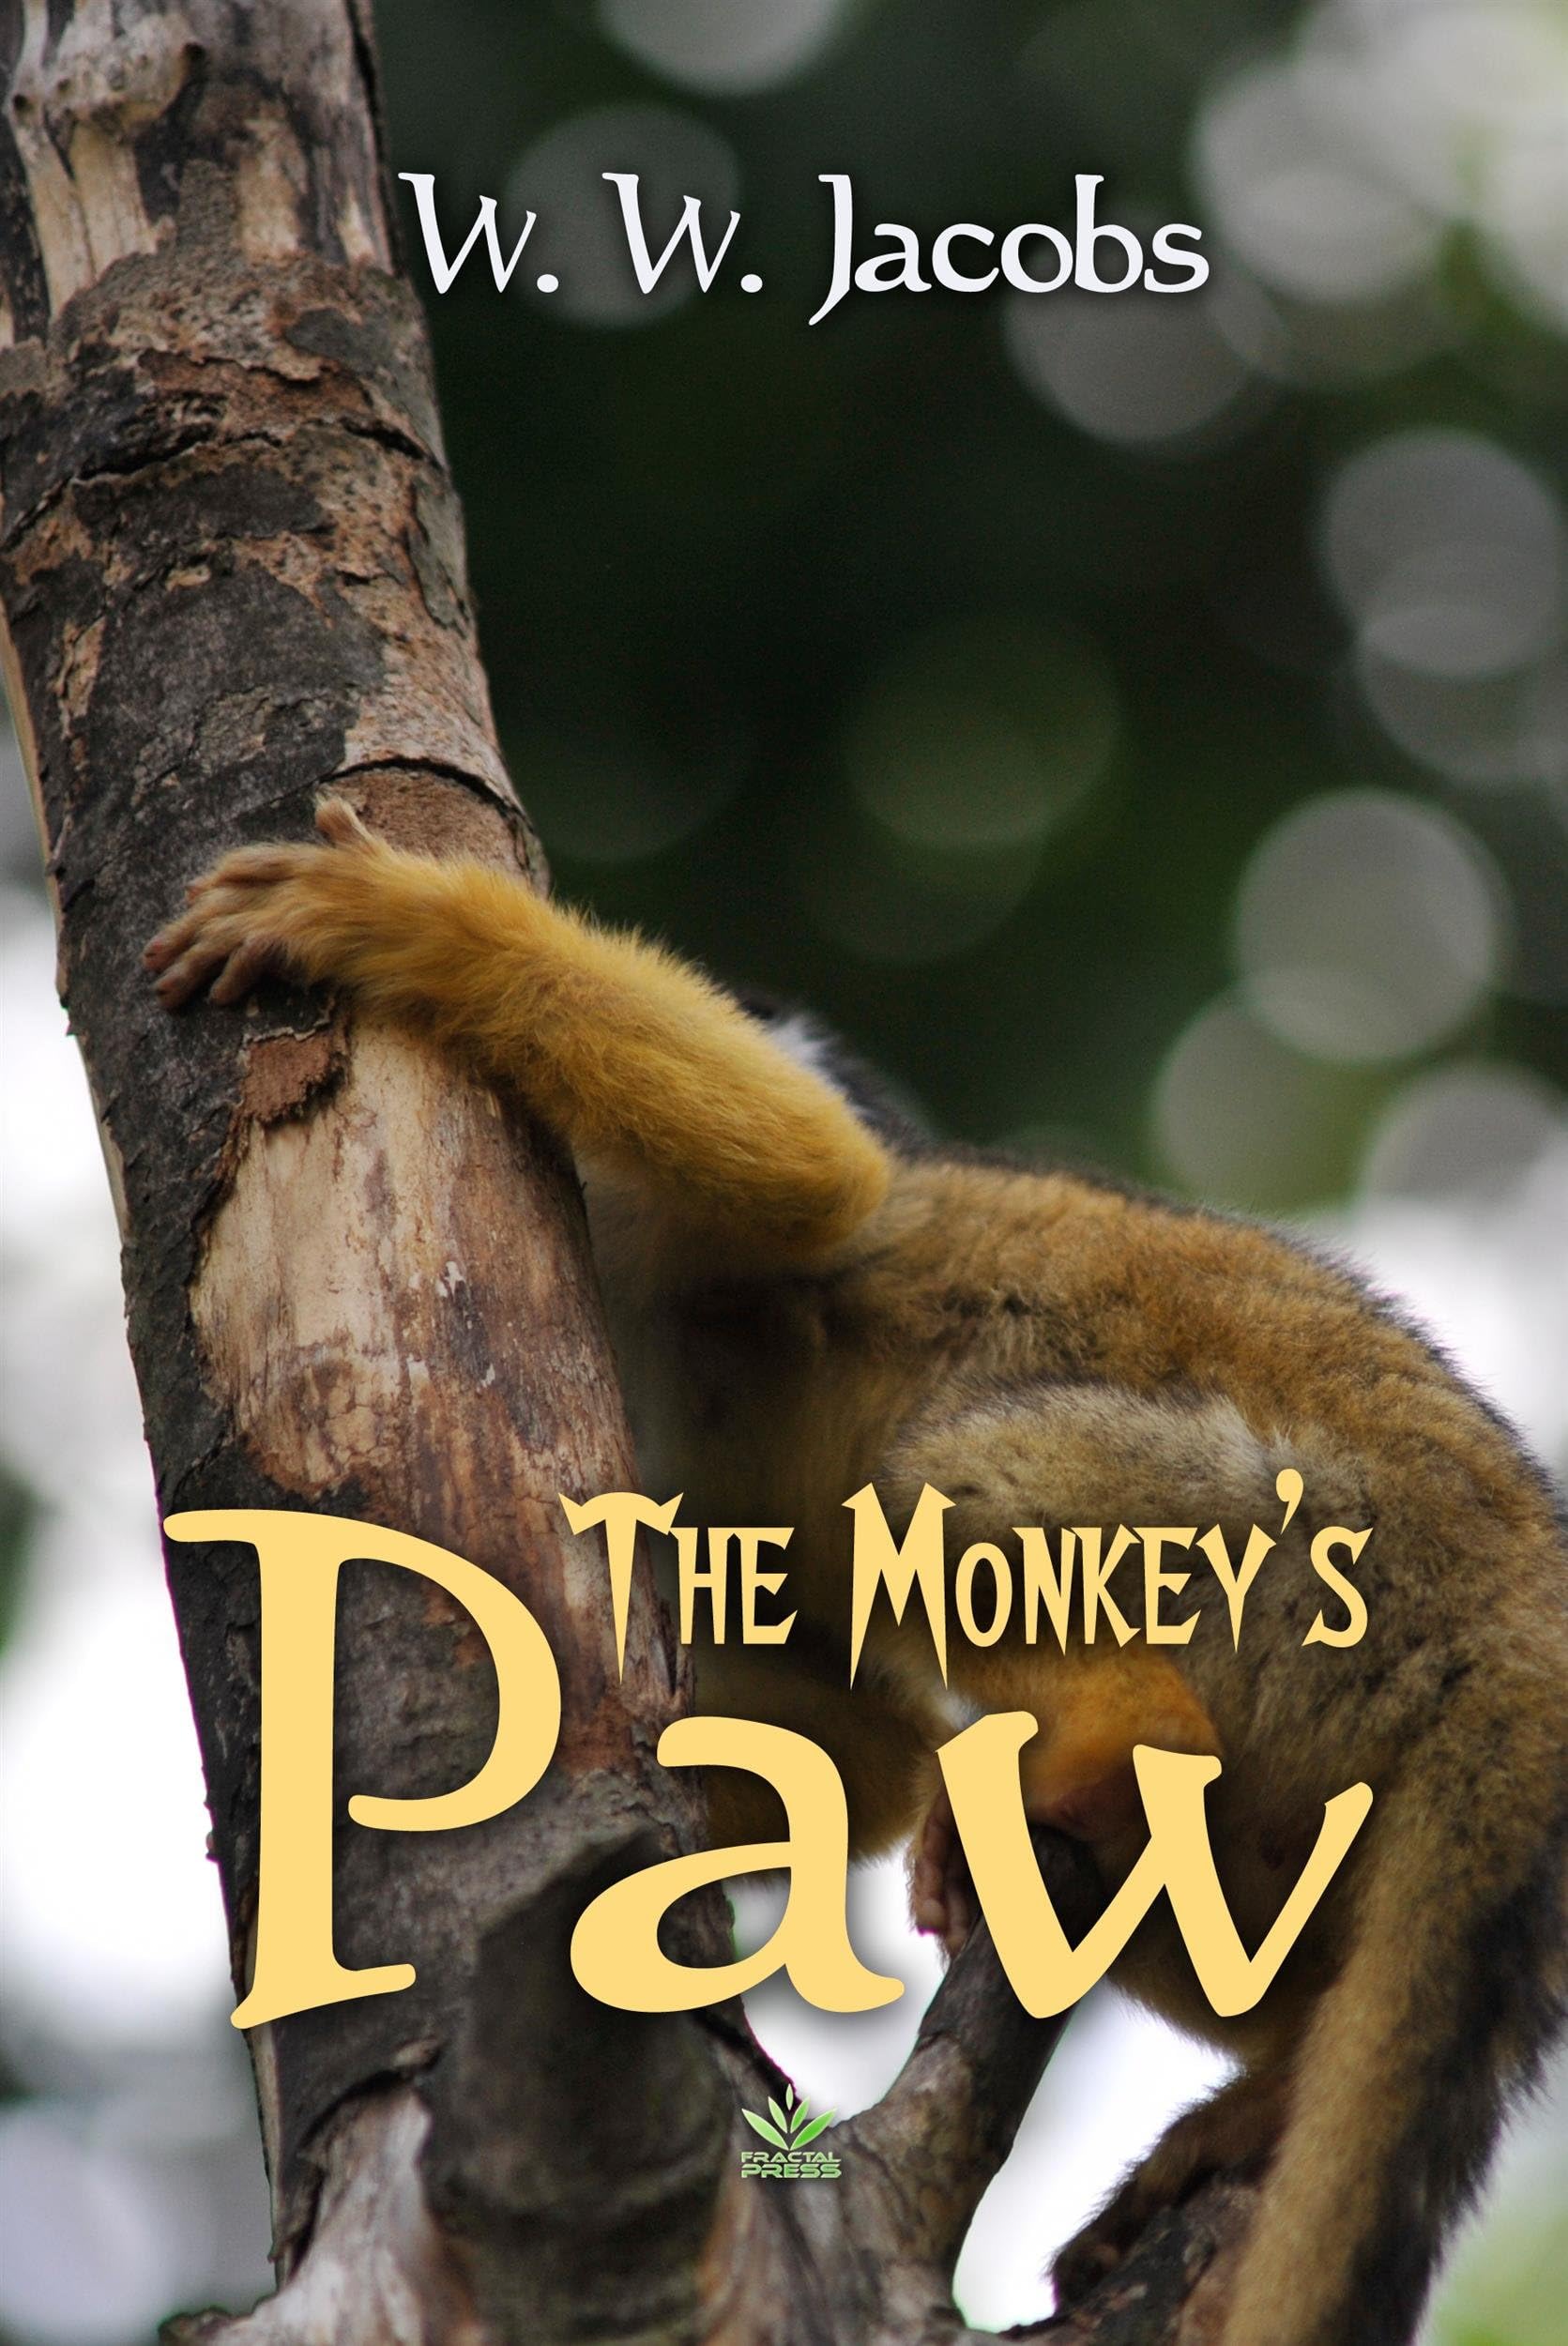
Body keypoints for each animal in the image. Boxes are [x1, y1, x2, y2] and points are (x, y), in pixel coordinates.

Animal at [146, 797, 1568, 2346]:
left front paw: (409, 926)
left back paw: (1118, 1734)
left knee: (935, 1484)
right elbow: (861, 1745)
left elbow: (806, 1175)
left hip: (1310, 1547)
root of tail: (1519, 1608)